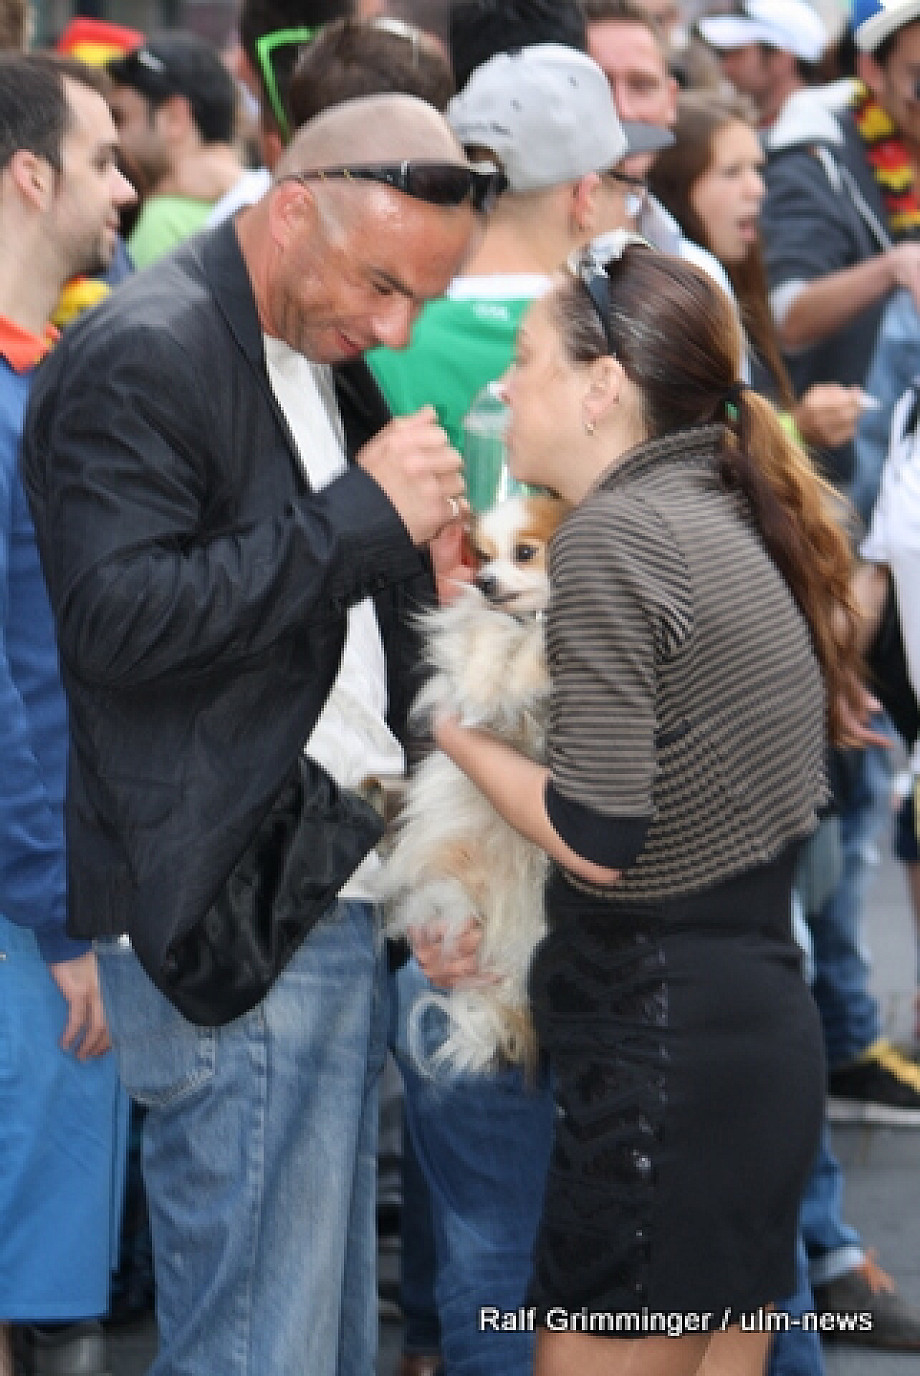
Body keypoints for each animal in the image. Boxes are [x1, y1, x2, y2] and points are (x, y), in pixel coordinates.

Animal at [379, 493, 570, 1075]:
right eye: (481, 556)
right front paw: (487, 683)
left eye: (524, 552)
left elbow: (530, 649)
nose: (484, 581)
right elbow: (484, 642)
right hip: (456, 883)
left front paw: (529, 660)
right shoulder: (476, 631)